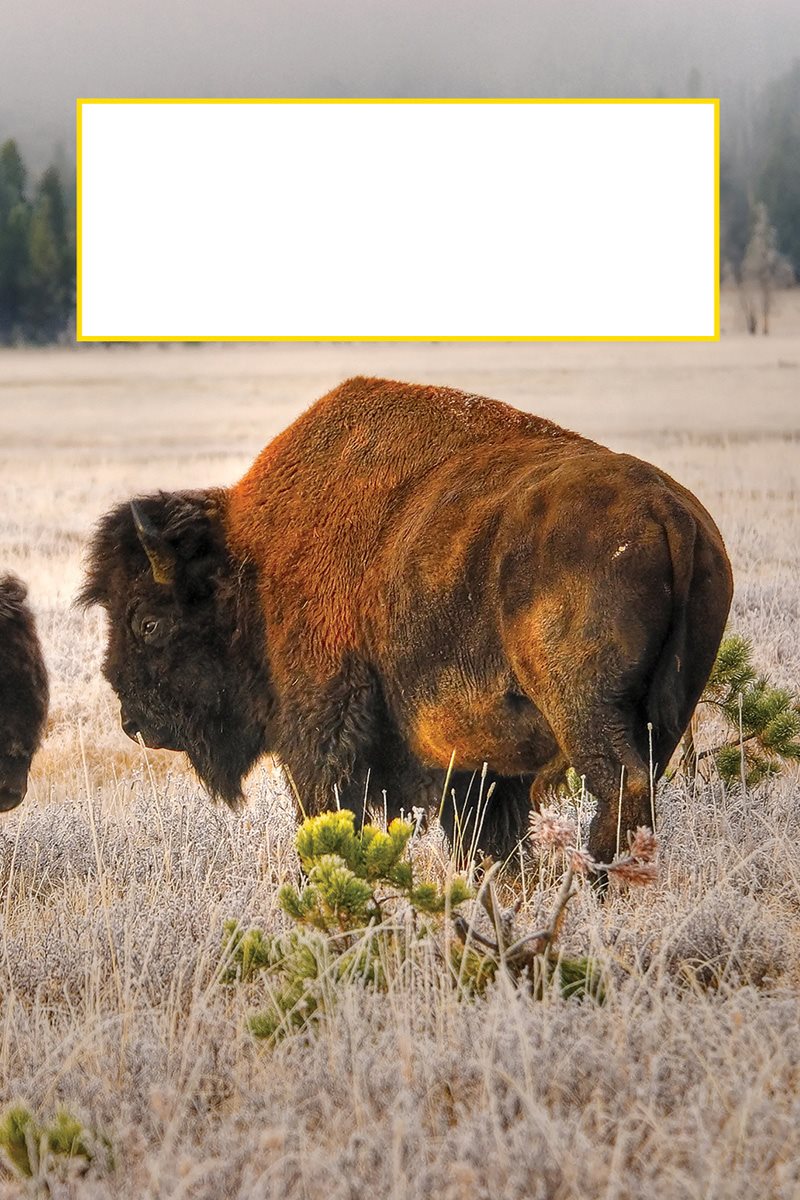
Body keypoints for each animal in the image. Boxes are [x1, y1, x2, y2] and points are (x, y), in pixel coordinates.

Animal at [79, 379, 734, 859]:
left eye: (148, 623)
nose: (134, 723)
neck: (253, 560)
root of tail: (667, 510)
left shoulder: (324, 732)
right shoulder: (477, 767)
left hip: (583, 706)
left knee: (620, 784)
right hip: (665, 711)